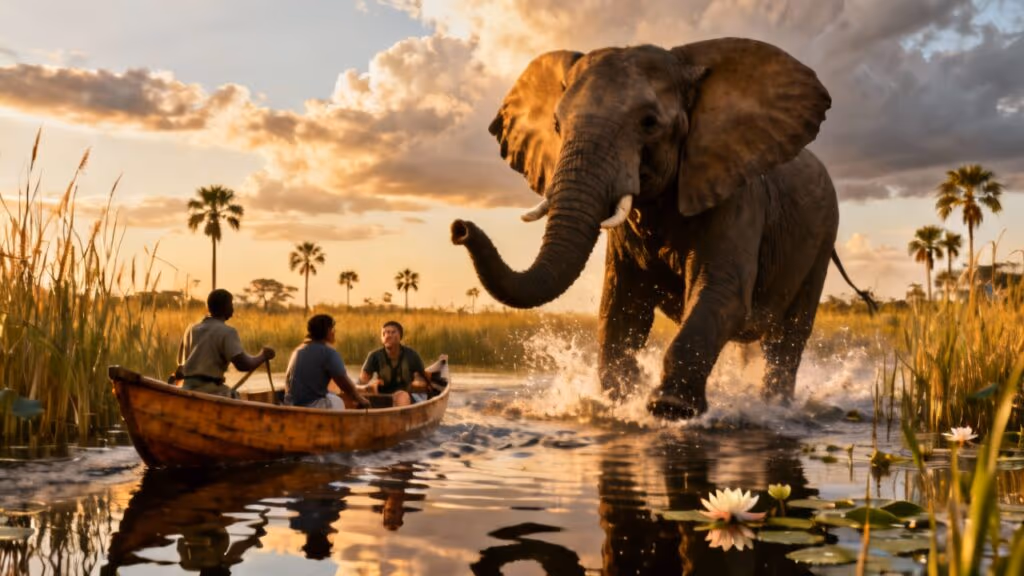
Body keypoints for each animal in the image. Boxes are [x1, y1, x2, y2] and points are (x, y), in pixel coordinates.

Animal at [451, 38, 875, 419]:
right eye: (556, 124)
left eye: (649, 123)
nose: (460, 228)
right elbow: (621, 309)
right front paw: (617, 404)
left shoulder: (735, 195)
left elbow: (720, 294)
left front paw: (669, 409)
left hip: (823, 235)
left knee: (786, 341)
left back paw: (776, 409)